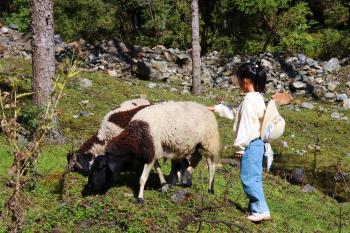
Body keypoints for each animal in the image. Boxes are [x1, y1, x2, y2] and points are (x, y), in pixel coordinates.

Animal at [82, 100, 220, 204]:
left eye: (100, 168)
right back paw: (187, 178)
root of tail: (207, 109)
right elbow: (158, 168)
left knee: (211, 166)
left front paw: (140, 198)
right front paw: (164, 185)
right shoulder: (152, 152)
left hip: (209, 143)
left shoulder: (151, 153)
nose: (89, 187)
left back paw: (210, 189)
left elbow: (143, 178)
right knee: (196, 158)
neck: (137, 134)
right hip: (196, 145)